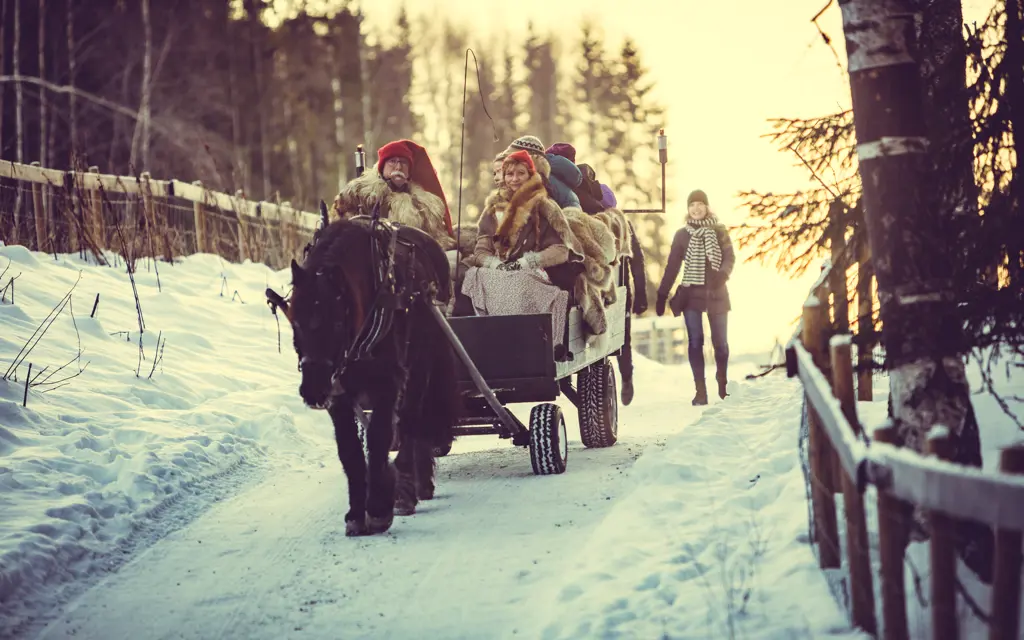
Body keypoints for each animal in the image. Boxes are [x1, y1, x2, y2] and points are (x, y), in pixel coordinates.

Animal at [272, 217, 464, 536]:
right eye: (294, 322)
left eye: (337, 322)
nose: (313, 391)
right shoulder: (338, 392)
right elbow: (349, 450)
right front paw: (356, 513)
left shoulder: (388, 382)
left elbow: (379, 437)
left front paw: (378, 508)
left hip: (421, 364)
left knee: (412, 421)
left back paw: (409, 486)